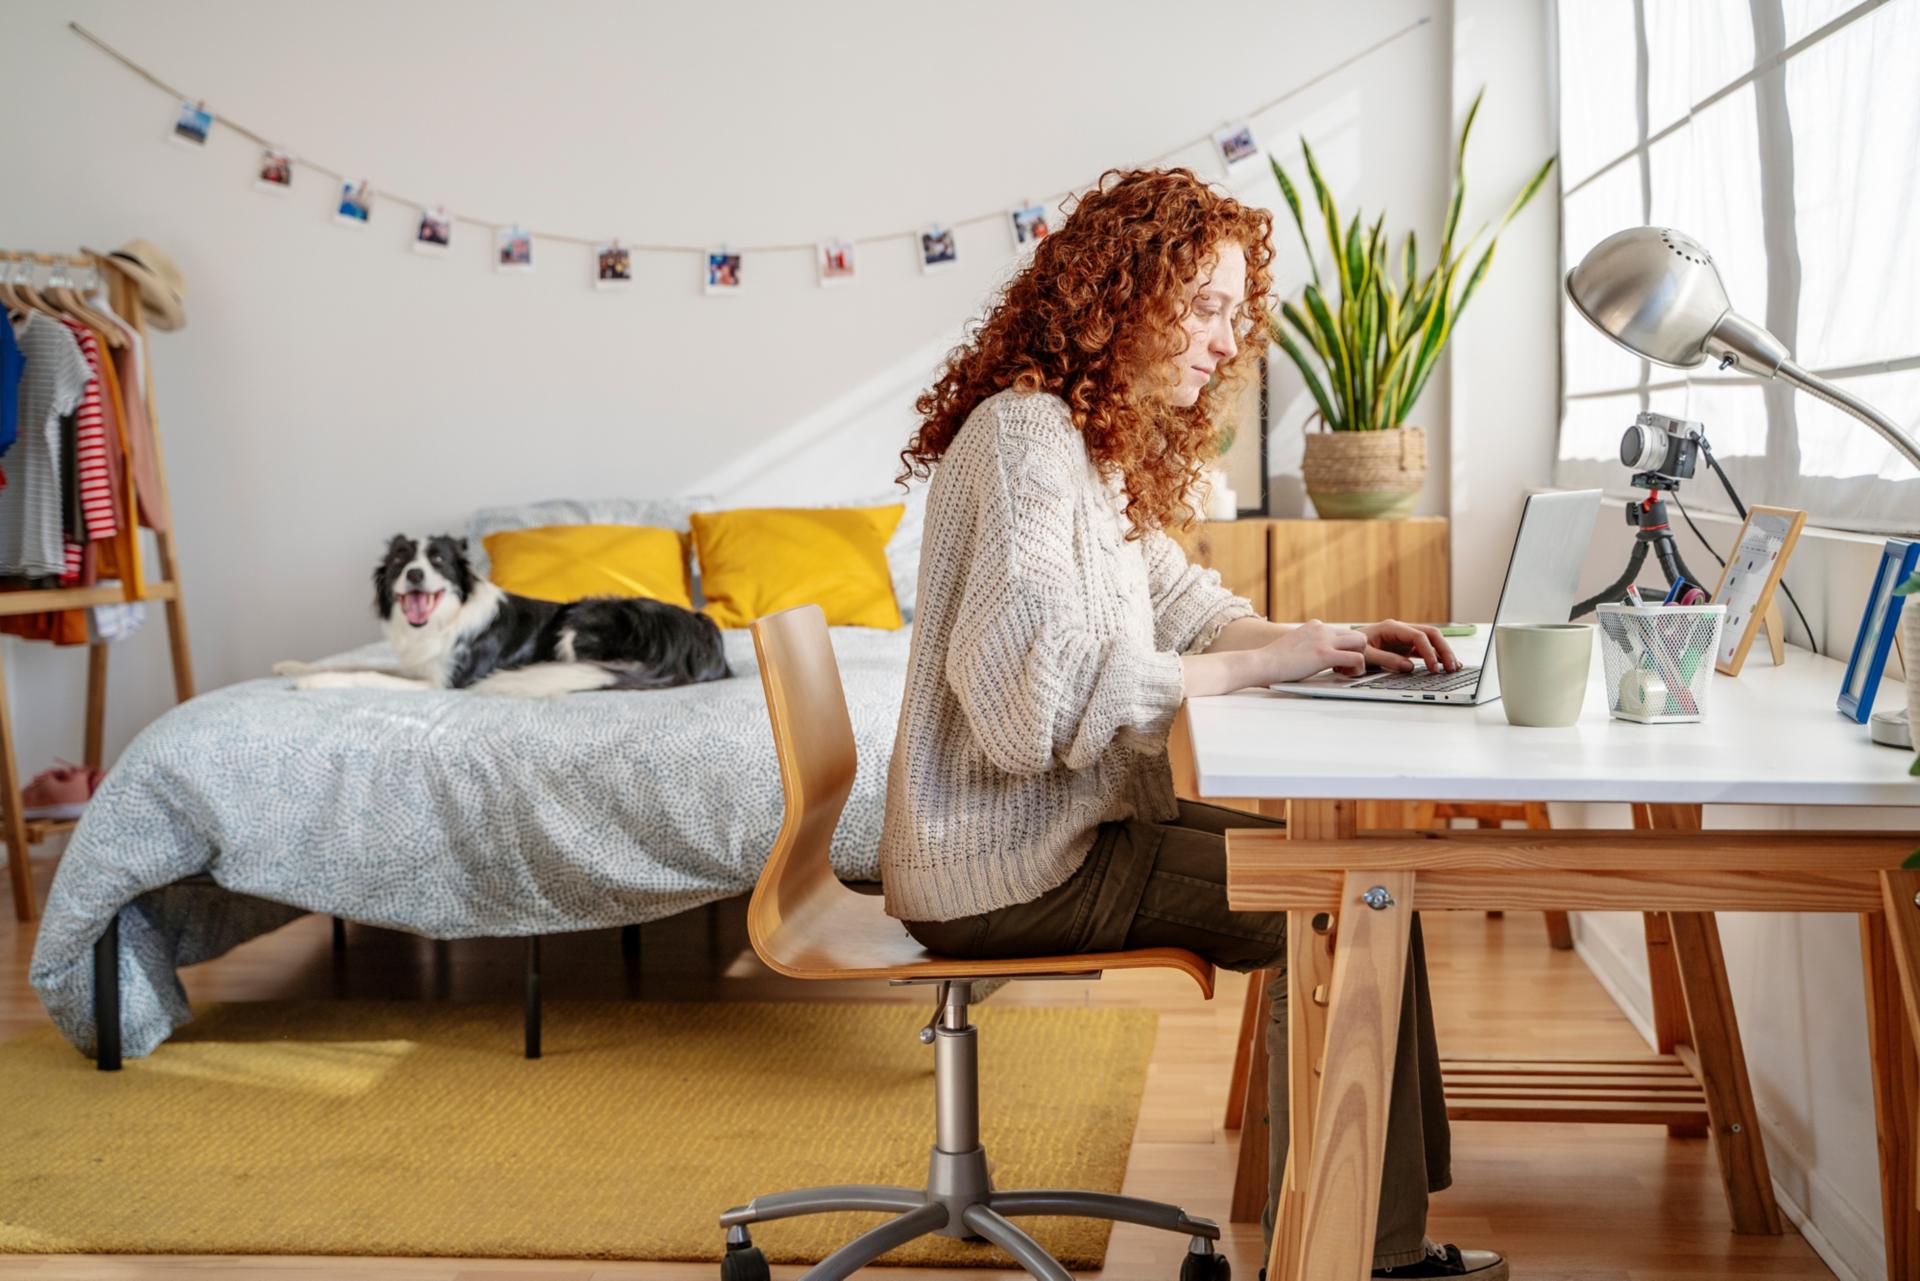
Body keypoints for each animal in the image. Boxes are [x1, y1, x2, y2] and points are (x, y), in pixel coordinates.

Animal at [280, 541, 733, 702]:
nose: (414, 575)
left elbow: (368, 674)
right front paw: (293, 666)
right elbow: (358, 662)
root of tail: (703, 633)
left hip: (581, 618)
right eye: (398, 562)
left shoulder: (443, 682)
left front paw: (310, 682)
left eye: (438, 560)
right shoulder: (421, 664)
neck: (445, 618)